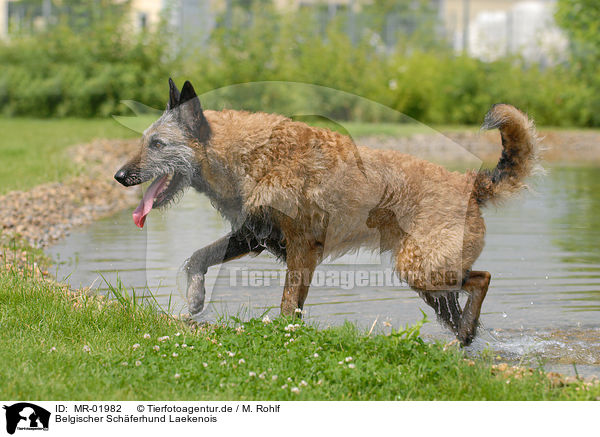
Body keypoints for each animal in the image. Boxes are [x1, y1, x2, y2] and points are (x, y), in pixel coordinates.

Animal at [115, 78, 540, 344]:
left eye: (157, 143)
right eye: (145, 140)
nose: (119, 175)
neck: (248, 155)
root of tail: (470, 183)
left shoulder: (302, 248)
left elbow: (288, 304)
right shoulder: (253, 235)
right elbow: (196, 258)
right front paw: (196, 299)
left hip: (422, 268)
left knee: (482, 279)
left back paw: (467, 330)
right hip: (431, 284)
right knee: (465, 302)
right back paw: (466, 335)